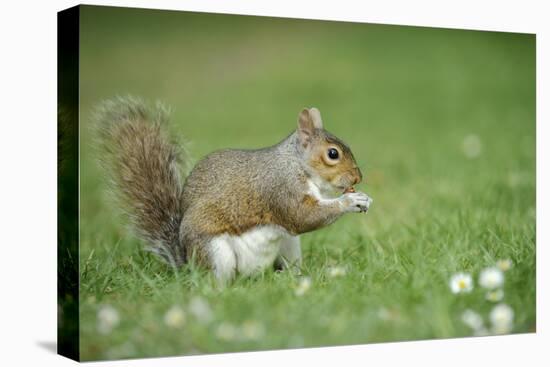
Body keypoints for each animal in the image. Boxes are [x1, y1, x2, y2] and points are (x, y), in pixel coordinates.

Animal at [98, 96, 376, 284]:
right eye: (333, 154)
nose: (358, 177)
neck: (297, 164)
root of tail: (187, 261)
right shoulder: (280, 189)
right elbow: (303, 217)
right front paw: (351, 201)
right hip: (215, 251)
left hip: (289, 245)